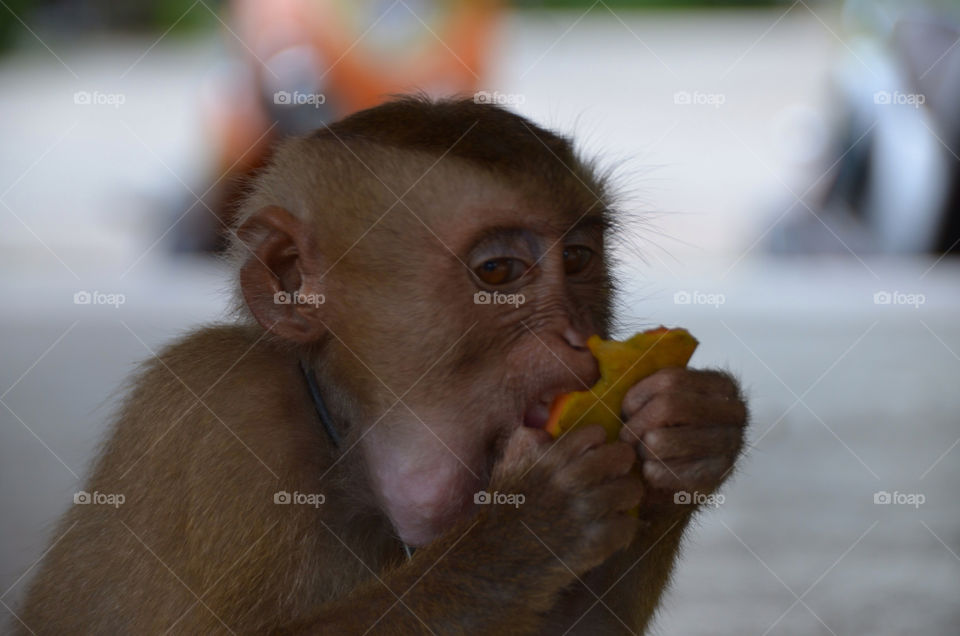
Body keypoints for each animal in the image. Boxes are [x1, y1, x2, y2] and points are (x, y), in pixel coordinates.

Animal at [13, 96, 747, 634]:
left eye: (577, 259)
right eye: (498, 272)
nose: (576, 335)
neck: (349, 438)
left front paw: (693, 433)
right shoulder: (222, 415)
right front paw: (523, 531)